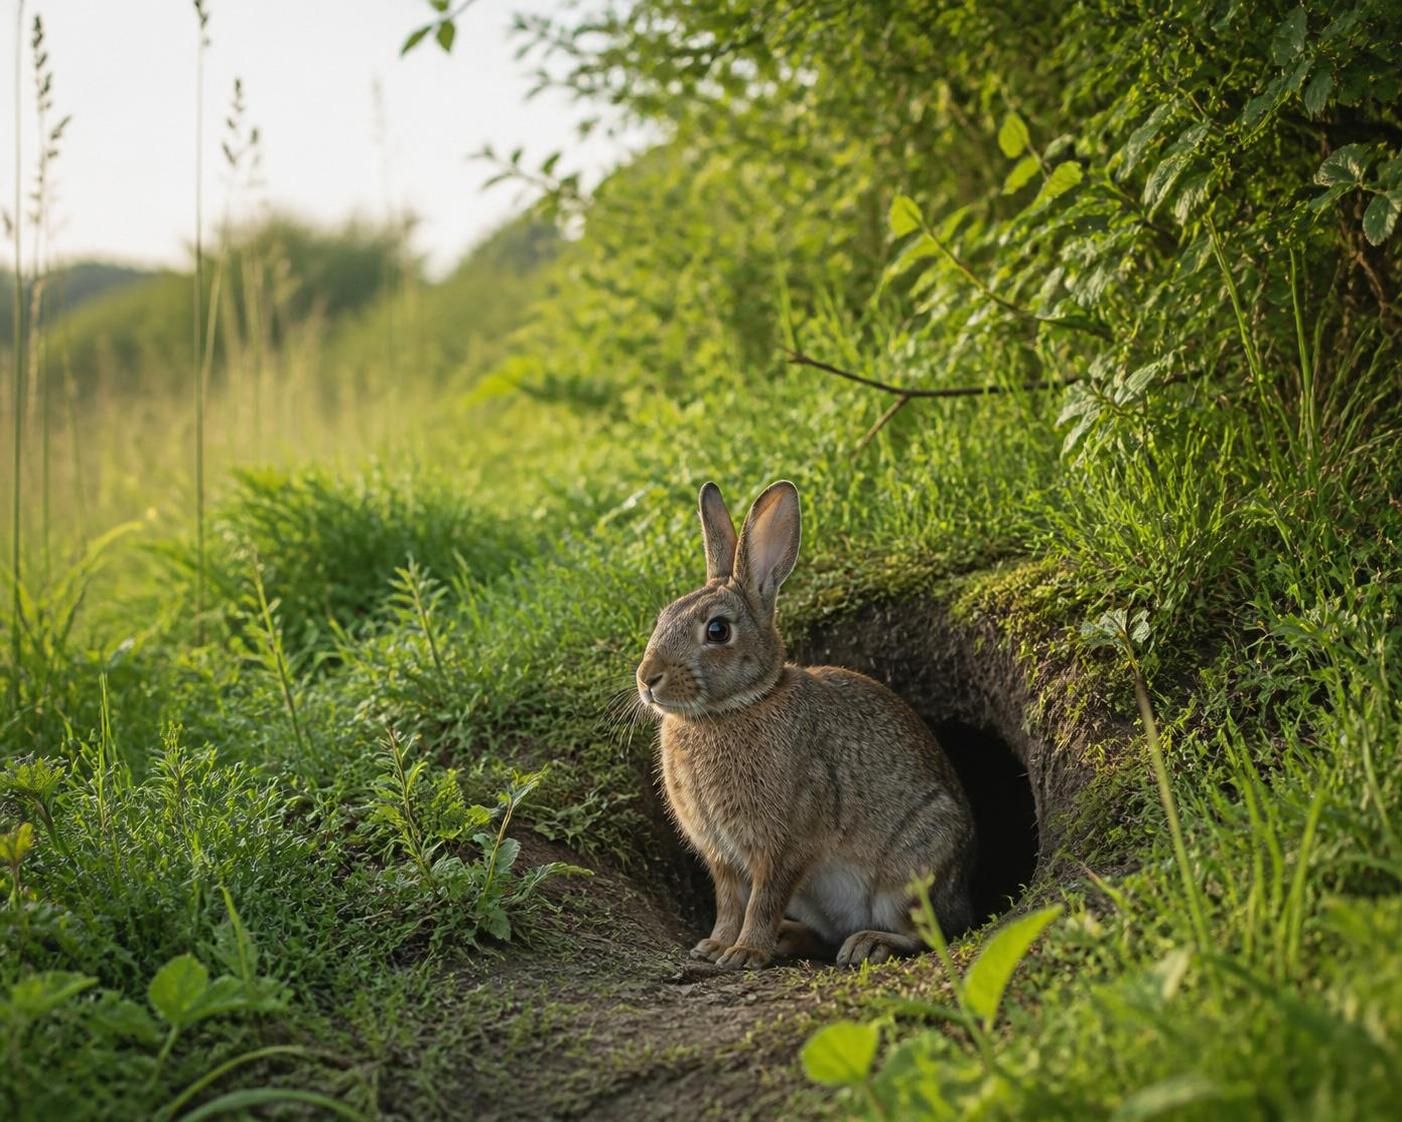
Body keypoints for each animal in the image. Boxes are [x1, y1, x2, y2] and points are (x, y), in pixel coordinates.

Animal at [636, 480, 977, 970]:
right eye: (663, 618)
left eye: (717, 630)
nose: (648, 679)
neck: (732, 708)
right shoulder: (723, 857)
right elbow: (729, 902)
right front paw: (715, 946)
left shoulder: (785, 844)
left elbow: (763, 899)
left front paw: (744, 952)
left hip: (912, 870)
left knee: (926, 933)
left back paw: (869, 944)